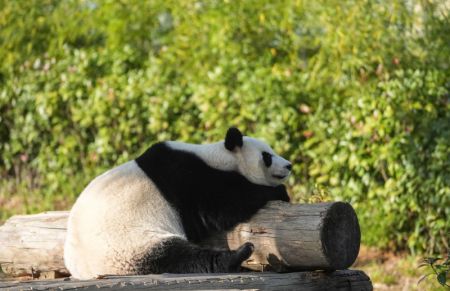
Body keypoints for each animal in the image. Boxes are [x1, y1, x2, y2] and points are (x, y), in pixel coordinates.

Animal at [65, 128, 294, 280]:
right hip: (129, 246)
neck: (218, 158)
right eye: (267, 156)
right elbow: (223, 207)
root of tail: (85, 271)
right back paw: (238, 255)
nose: (289, 165)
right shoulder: (187, 179)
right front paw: (279, 192)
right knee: (179, 257)